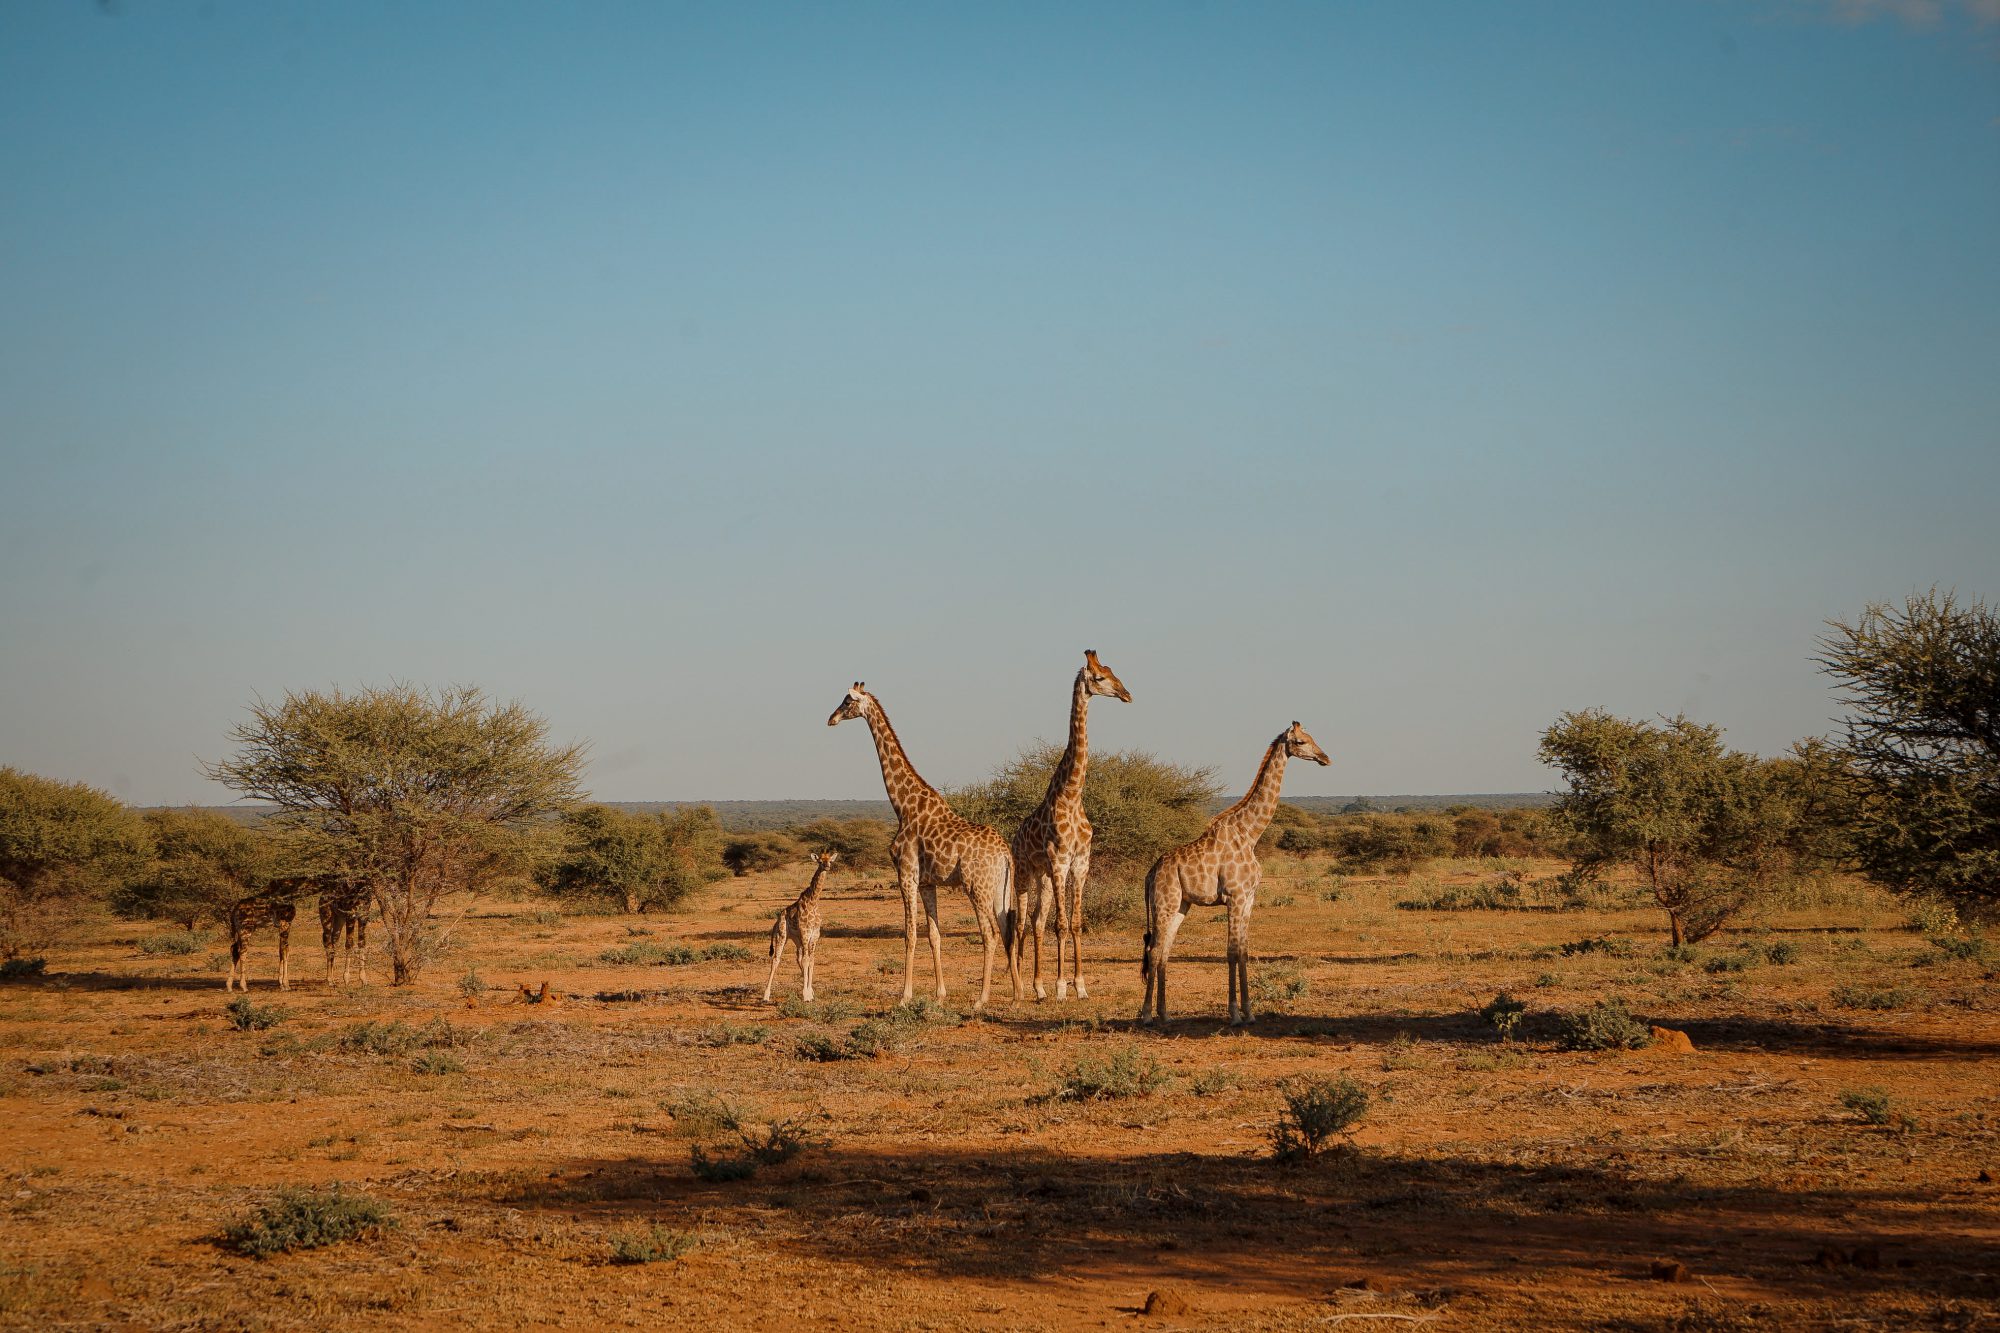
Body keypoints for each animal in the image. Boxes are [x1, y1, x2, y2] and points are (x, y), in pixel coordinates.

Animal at [760, 852, 832, 996]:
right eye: (820, 861)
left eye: (830, 861)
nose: (827, 866)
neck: (813, 902)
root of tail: (776, 922)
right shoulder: (805, 932)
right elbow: (806, 960)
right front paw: (806, 994)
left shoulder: (815, 935)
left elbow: (811, 960)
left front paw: (810, 992)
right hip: (782, 935)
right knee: (776, 959)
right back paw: (766, 995)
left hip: (796, 938)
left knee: (798, 957)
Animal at [828, 684, 1016, 1008]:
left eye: (848, 700)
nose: (832, 719)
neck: (903, 806)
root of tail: (1005, 852)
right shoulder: (928, 882)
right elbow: (934, 935)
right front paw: (940, 994)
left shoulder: (906, 874)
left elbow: (910, 934)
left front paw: (905, 995)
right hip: (999, 888)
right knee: (1008, 930)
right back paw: (1020, 995)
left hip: (976, 885)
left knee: (990, 934)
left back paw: (981, 999)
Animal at [1008, 644, 1136, 996]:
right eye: (1100, 677)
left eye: (1112, 670)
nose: (1127, 694)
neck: (1072, 796)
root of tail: (1014, 836)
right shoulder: (1060, 861)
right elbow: (1061, 925)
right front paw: (1062, 987)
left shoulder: (1080, 862)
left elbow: (1075, 924)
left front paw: (1078, 986)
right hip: (1024, 872)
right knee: (1021, 924)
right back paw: (1021, 984)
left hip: (1042, 877)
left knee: (1036, 922)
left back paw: (1038, 987)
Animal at [1144, 720, 1328, 1020]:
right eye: (1301, 741)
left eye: (1313, 738)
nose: (1325, 758)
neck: (1250, 834)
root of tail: (1150, 874)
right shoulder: (1234, 897)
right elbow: (1230, 952)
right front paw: (1233, 1014)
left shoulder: (1249, 898)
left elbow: (1243, 951)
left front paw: (1250, 1013)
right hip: (1165, 902)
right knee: (1154, 949)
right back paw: (1147, 1015)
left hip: (1181, 904)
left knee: (1164, 951)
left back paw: (1164, 1014)